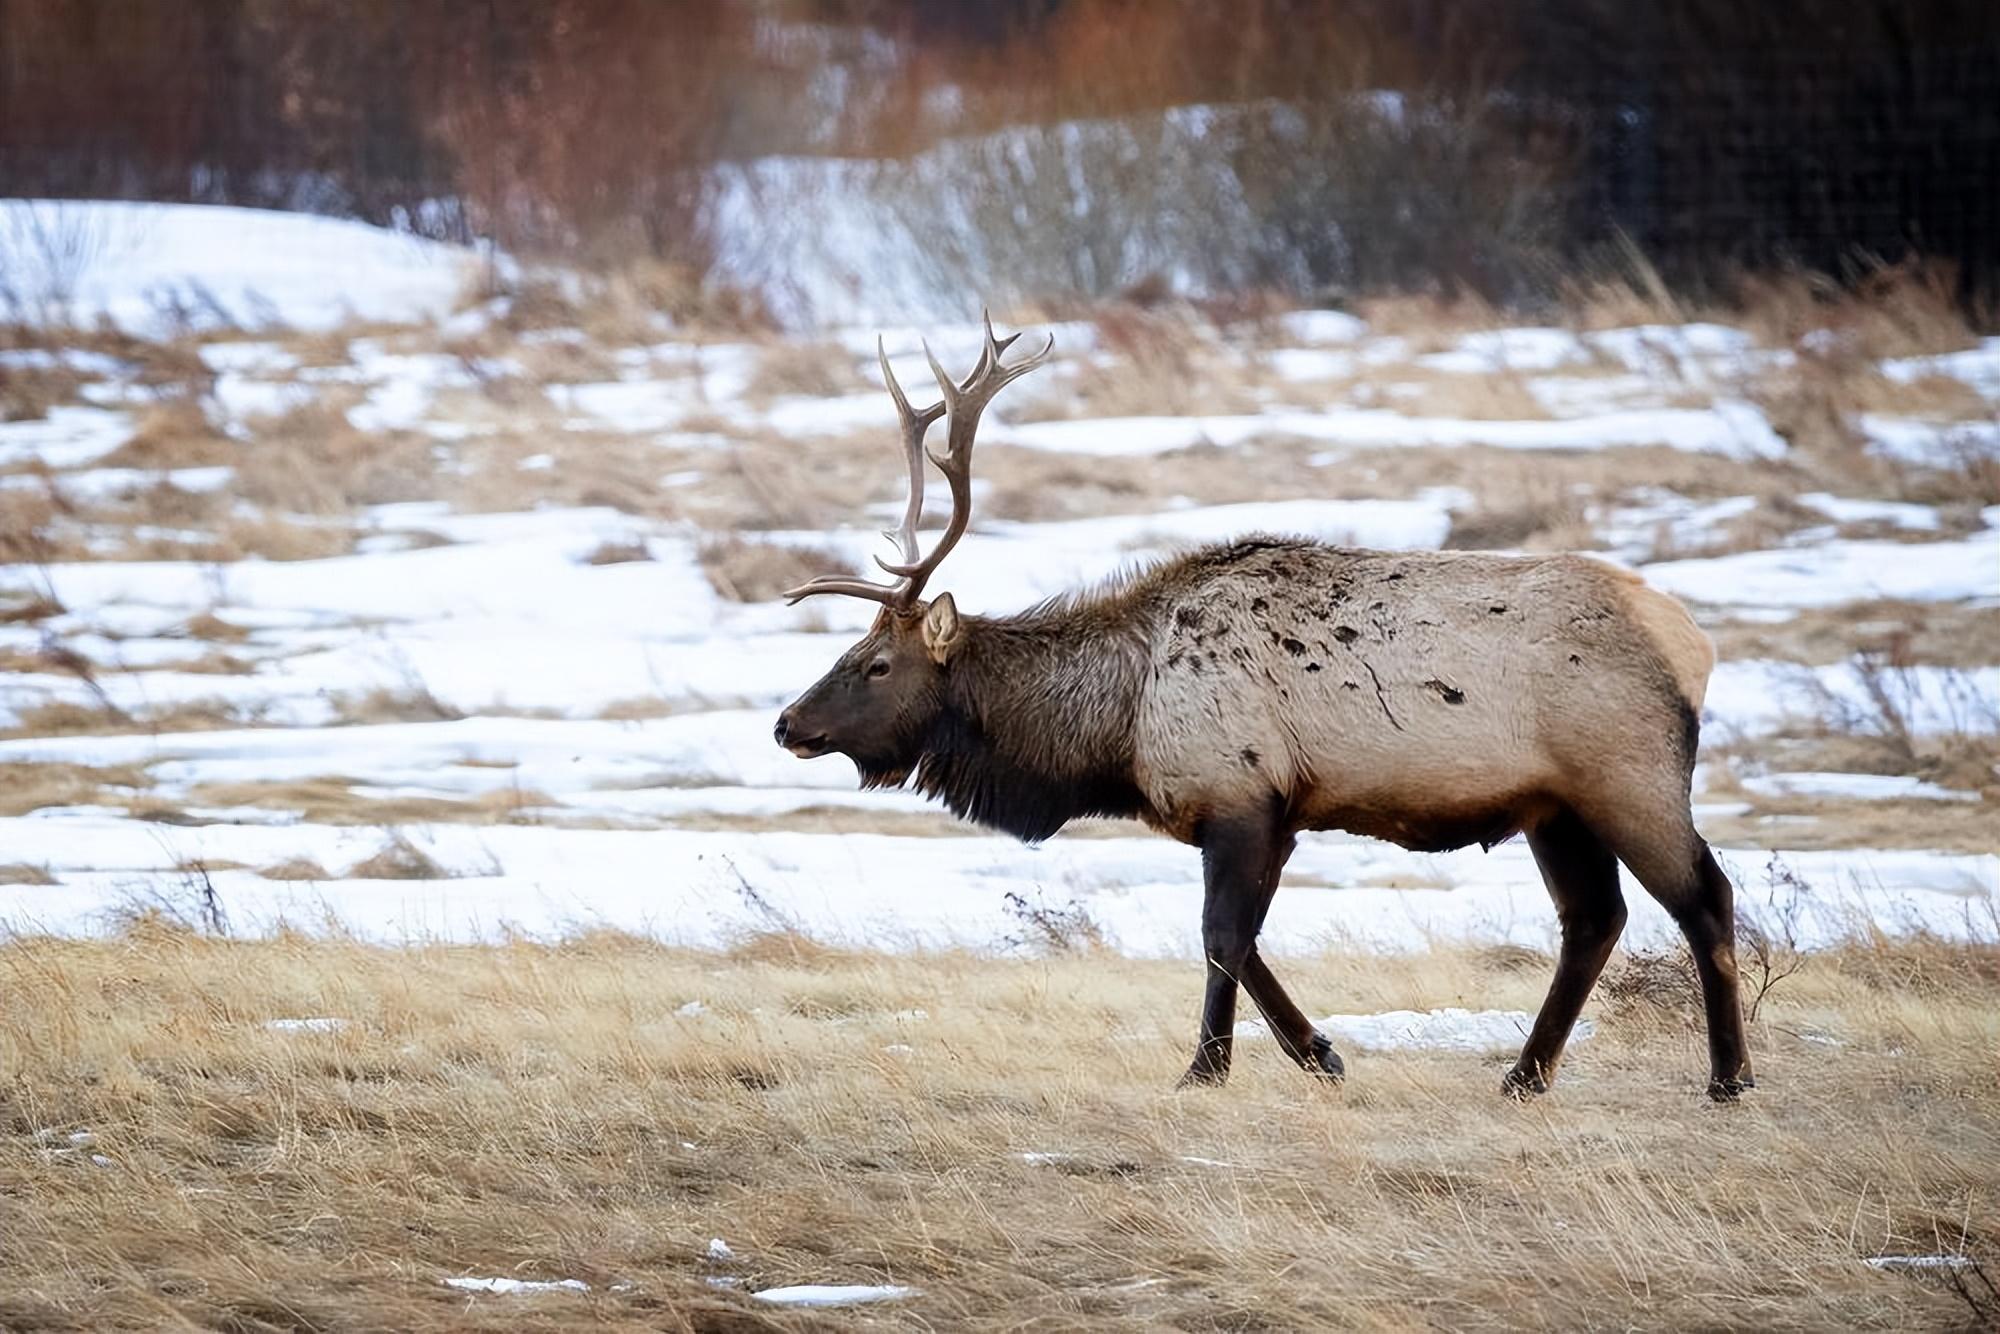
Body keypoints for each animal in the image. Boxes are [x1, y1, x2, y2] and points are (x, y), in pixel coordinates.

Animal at [772, 318, 1760, 1104]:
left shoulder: (1237, 794)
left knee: (1704, 897)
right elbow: (1245, 941)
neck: (1118, 731)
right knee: (1594, 920)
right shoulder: (1277, 812)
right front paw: (1319, 1053)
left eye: (874, 663)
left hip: (1627, 774)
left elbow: (1220, 937)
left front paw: (1207, 1068)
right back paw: (1524, 1074)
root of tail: (1693, 643)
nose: (786, 723)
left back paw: (1727, 1076)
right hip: (1553, 806)